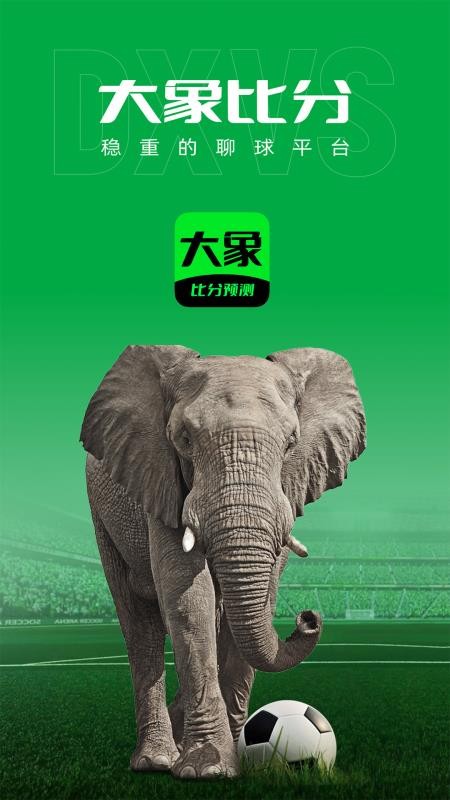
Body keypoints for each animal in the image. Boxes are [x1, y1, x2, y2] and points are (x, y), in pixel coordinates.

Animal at [80, 345, 365, 779]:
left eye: (291, 442)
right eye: (183, 439)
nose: (309, 617)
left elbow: (259, 595)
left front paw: (236, 759)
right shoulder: (160, 478)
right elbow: (187, 597)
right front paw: (207, 770)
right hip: (103, 514)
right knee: (138, 620)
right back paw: (155, 760)